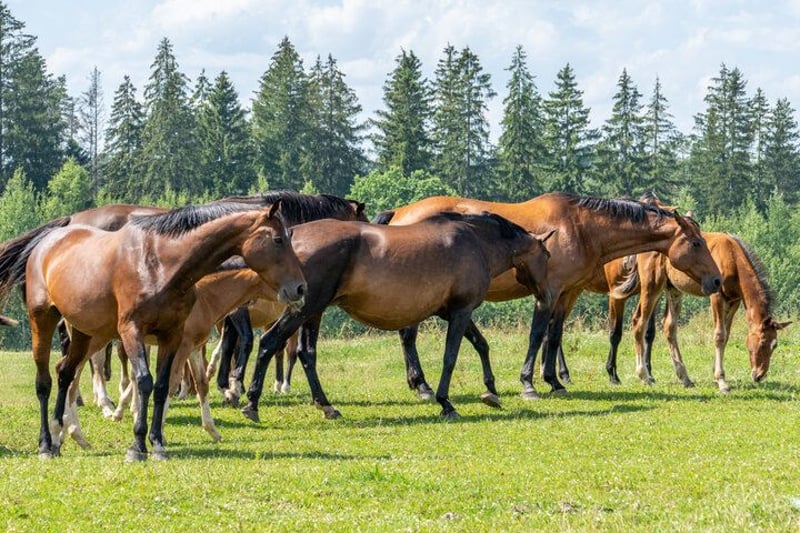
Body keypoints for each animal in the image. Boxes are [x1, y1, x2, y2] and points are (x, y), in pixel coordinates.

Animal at [0, 201, 306, 460]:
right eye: (278, 240)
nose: (301, 288)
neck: (159, 263)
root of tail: (46, 241)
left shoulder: (172, 336)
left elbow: (161, 386)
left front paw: (157, 443)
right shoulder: (132, 332)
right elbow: (144, 382)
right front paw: (137, 445)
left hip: (84, 332)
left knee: (65, 373)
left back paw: (59, 435)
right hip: (43, 320)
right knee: (44, 381)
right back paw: (46, 443)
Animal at [238, 211, 553, 421]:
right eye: (548, 256)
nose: (548, 297)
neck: (475, 241)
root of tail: (295, 237)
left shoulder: (454, 312)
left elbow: (481, 345)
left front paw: (491, 392)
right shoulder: (461, 312)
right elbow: (450, 357)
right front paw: (446, 403)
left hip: (313, 311)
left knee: (307, 354)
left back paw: (326, 405)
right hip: (304, 309)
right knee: (269, 342)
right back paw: (251, 403)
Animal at [374, 192, 722, 398]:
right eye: (695, 243)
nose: (716, 280)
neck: (579, 227)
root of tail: (400, 213)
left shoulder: (566, 293)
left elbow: (553, 337)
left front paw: (554, 381)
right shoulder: (548, 292)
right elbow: (537, 335)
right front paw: (529, 383)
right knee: (408, 335)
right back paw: (422, 385)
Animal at [602, 233, 790, 392]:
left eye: (775, 345)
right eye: (762, 343)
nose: (759, 375)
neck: (732, 257)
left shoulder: (734, 301)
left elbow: (726, 335)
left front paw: (716, 372)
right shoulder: (716, 296)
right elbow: (719, 335)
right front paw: (721, 381)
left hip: (673, 288)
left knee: (669, 327)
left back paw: (685, 378)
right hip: (652, 285)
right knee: (639, 322)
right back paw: (644, 376)